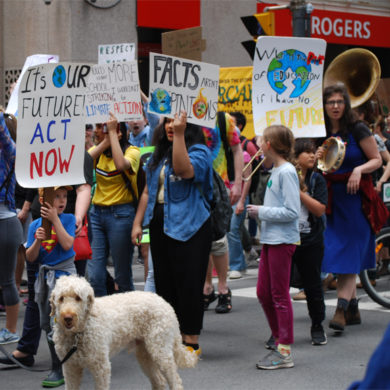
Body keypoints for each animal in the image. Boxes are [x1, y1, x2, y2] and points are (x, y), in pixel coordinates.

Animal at [50, 274, 198, 390]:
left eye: (78, 298)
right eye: (61, 298)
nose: (67, 317)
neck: (79, 332)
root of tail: (165, 303)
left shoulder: (101, 367)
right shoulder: (70, 367)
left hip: (160, 351)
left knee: (176, 381)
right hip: (144, 353)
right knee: (160, 381)